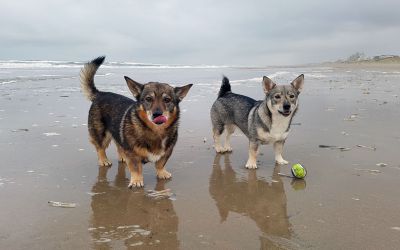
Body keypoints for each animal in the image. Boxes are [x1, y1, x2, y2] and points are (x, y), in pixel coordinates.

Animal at [79, 56, 192, 188]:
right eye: (148, 99)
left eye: (167, 100)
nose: (157, 114)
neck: (155, 131)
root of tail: (100, 94)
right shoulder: (132, 154)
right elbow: (135, 168)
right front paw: (137, 180)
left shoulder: (167, 152)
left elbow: (160, 163)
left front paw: (162, 173)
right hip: (101, 133)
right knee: (100, 147)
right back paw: (104, 160)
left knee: (119, 144)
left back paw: (122, 157)